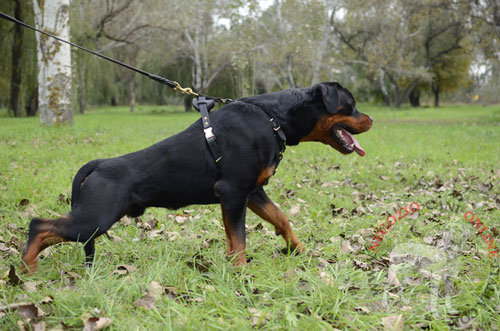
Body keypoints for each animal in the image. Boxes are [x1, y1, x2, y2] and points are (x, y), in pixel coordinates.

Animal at [21, 81, 372, 274]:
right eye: (352, 105)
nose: (370, 119)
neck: (273, 118)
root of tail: (98, 164)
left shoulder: (252, 192)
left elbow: (279, 219)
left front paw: (299, 250)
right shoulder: (233, 192)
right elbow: (239, 240)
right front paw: (242, 273)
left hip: (95, 219)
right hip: (95, 218)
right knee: (38, 225)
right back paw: (27, 269)